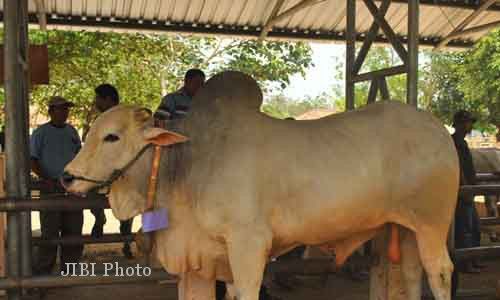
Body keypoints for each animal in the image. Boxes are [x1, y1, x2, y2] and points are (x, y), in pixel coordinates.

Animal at [64, 71, 458, 300]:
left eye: (112, 136)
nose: (68, 176)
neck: (187, 163)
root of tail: (437, 129)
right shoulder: (199, 261)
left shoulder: (248, 245)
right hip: (403, 227)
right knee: (412, 274)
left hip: (432, 224)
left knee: (439, 272)